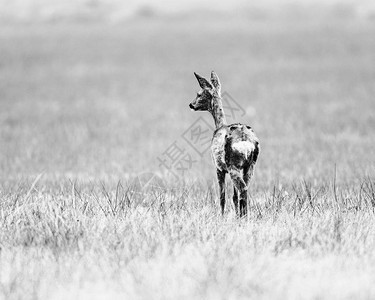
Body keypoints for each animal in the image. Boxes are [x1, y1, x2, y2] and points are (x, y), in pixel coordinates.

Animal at [189, 71, 260, 217]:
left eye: (199, 94)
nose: (191, 105)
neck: (219, 125)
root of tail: (244, 140)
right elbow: (233, 197)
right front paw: (235, 215)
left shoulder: (219, 168)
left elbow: (222, 197)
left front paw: (220, 216)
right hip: (250, 165)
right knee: (244, 188)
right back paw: (243, 216)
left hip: (232, 164)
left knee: (242, 189)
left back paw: (244, 217)